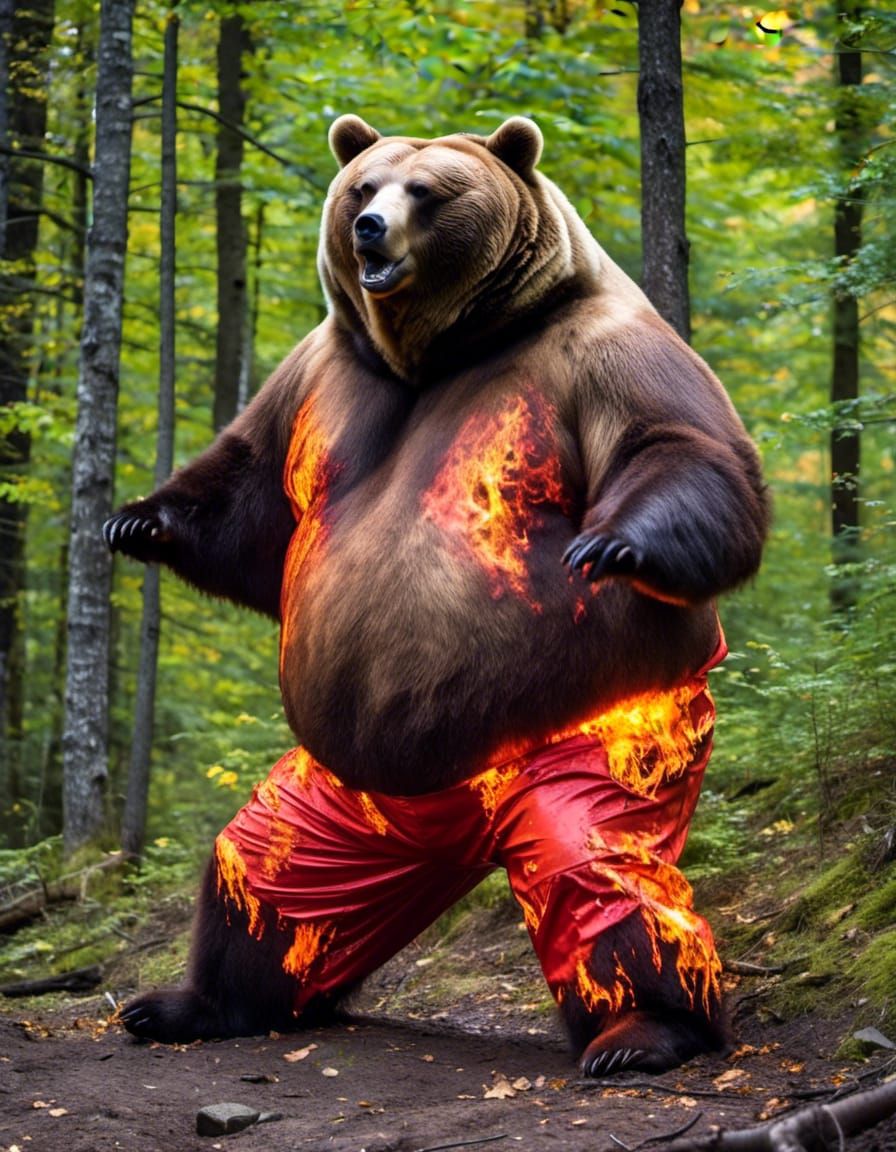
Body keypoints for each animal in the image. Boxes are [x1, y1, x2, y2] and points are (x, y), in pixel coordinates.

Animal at [105, 115, 768, 1076]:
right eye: (363, 184)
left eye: (427, 191)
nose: (369, 228)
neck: (434, 352)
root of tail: (460, 820)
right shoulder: (326, 374)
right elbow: (253, 494)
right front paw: (135, 522)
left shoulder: (600, 355)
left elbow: (678, 444)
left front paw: (612, 541)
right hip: (343, 795)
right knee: (263, 878)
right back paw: (192, 1002)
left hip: (598, 735)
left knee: (598, 874)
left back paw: (642, 1030)